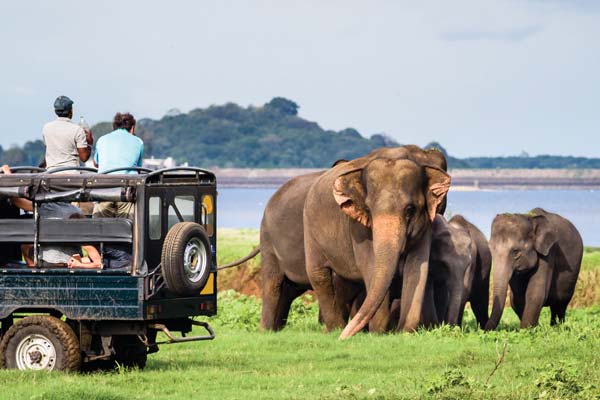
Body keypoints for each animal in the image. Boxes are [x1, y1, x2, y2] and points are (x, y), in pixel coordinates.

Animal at [260, 146, 448, 332]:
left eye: (410, 209)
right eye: (369, 209)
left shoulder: (426, 224)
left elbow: (417, 268)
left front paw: (403, 331)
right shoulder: (357, 227)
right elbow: (370, 266)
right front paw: (378, 333)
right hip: (294, 233)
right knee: (305, 277)